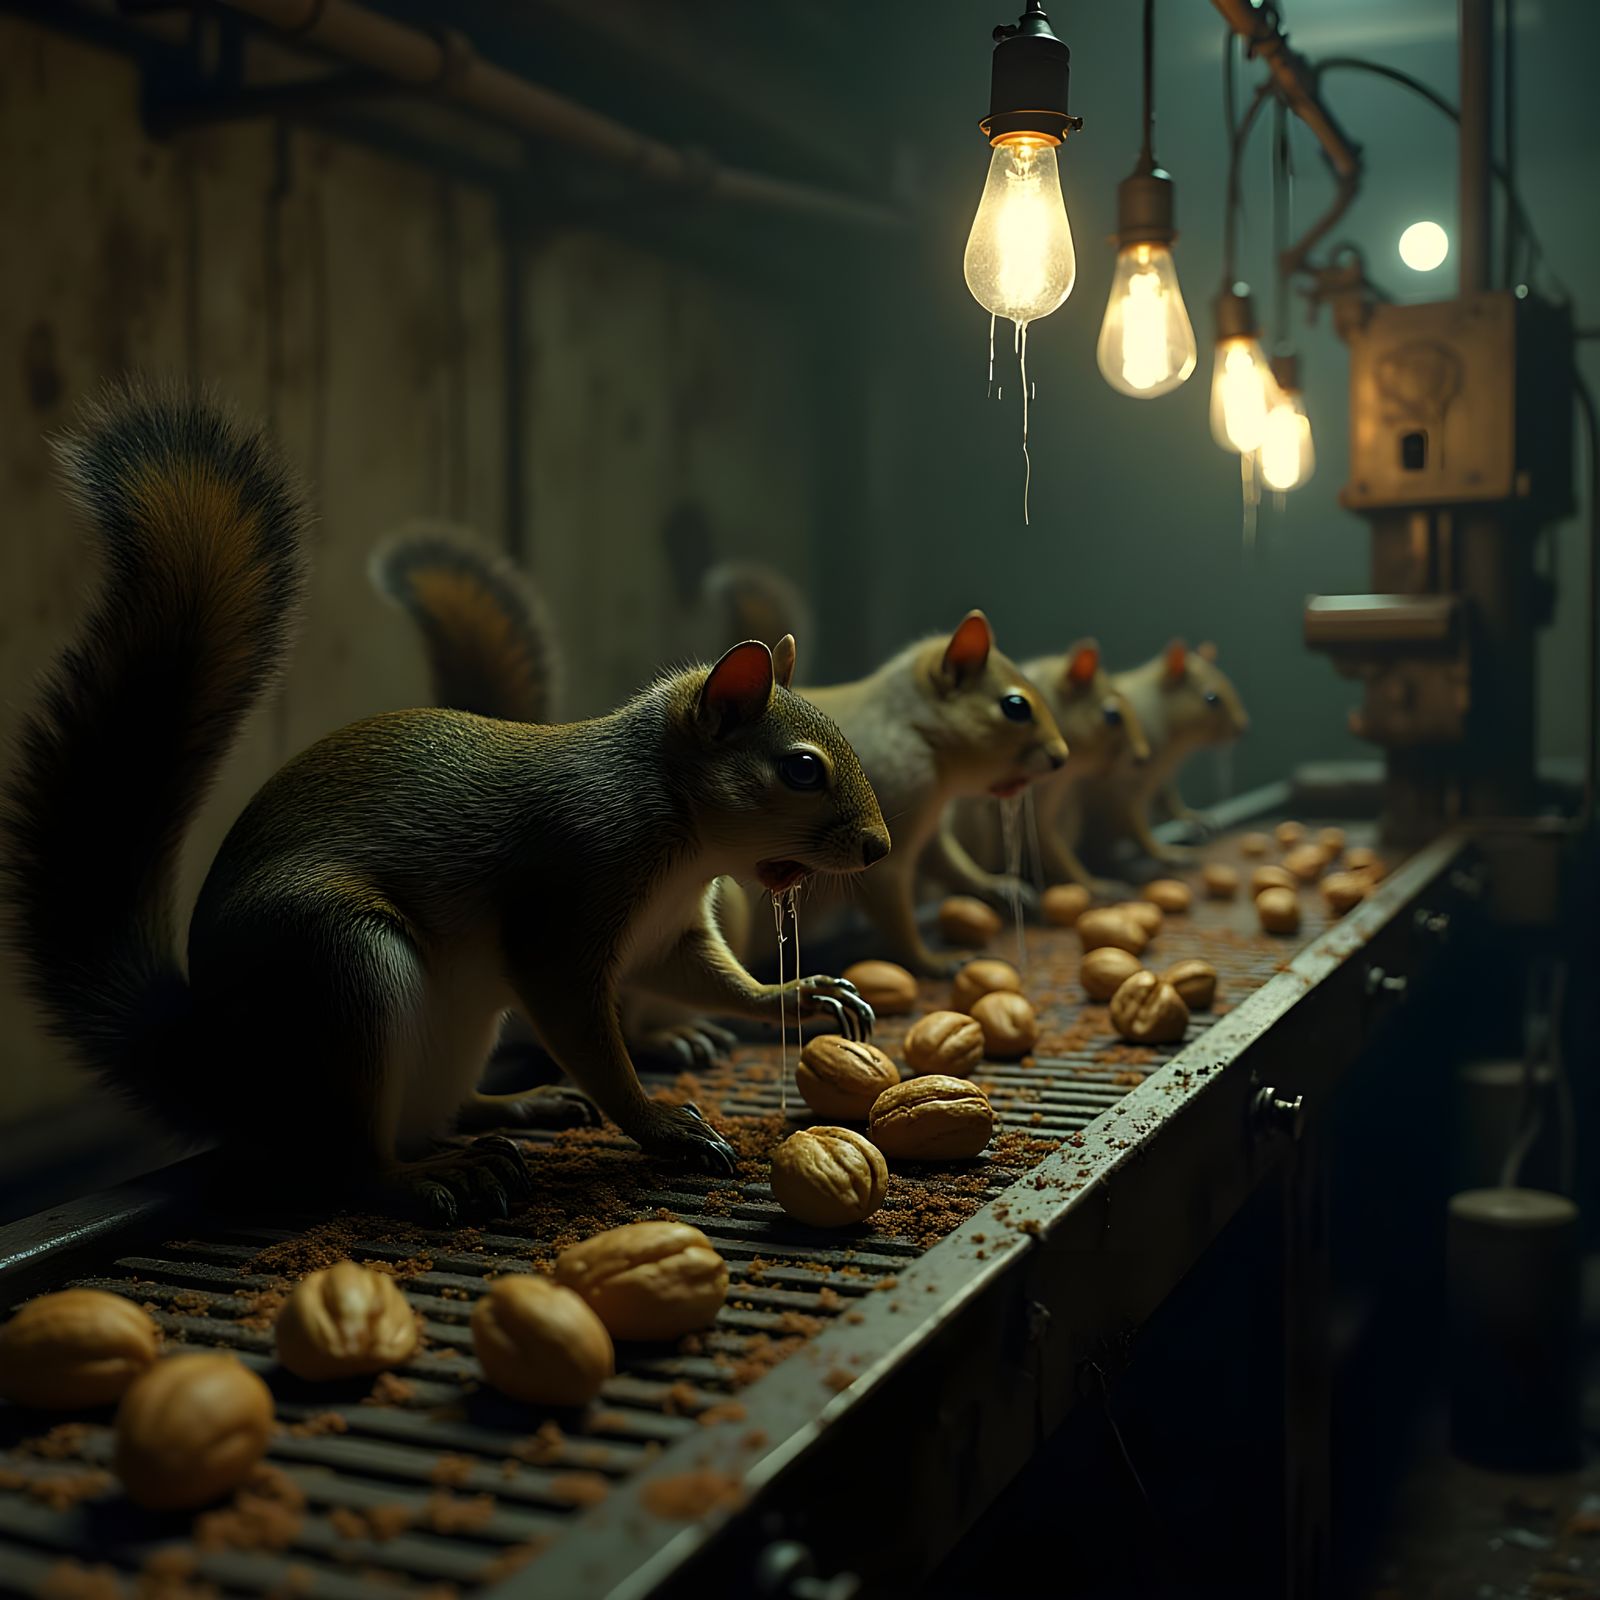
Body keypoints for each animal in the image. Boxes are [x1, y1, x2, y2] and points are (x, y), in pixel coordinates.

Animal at [1, 388, 888, 1223]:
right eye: (802, 769)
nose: (877, 847)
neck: (675, 824)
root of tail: (223, 1070)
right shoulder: (568, 900)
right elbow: (594, 1041)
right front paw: (661, 1126)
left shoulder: (670, 931)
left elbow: (709, 976)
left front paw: (798, 995)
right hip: (342, 969)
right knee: (350, 1161)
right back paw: (427, 1176)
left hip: (455, 1024)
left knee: (440, 1109)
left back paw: (517, 1106)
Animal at [1072, 640, 1250, 868]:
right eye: (1211, 698)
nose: (1243, 727)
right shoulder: (1120, 789)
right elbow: (1138, 832)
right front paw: (1168, 853)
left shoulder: (1160, 780)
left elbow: (1169, 805)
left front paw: (1195, 817)